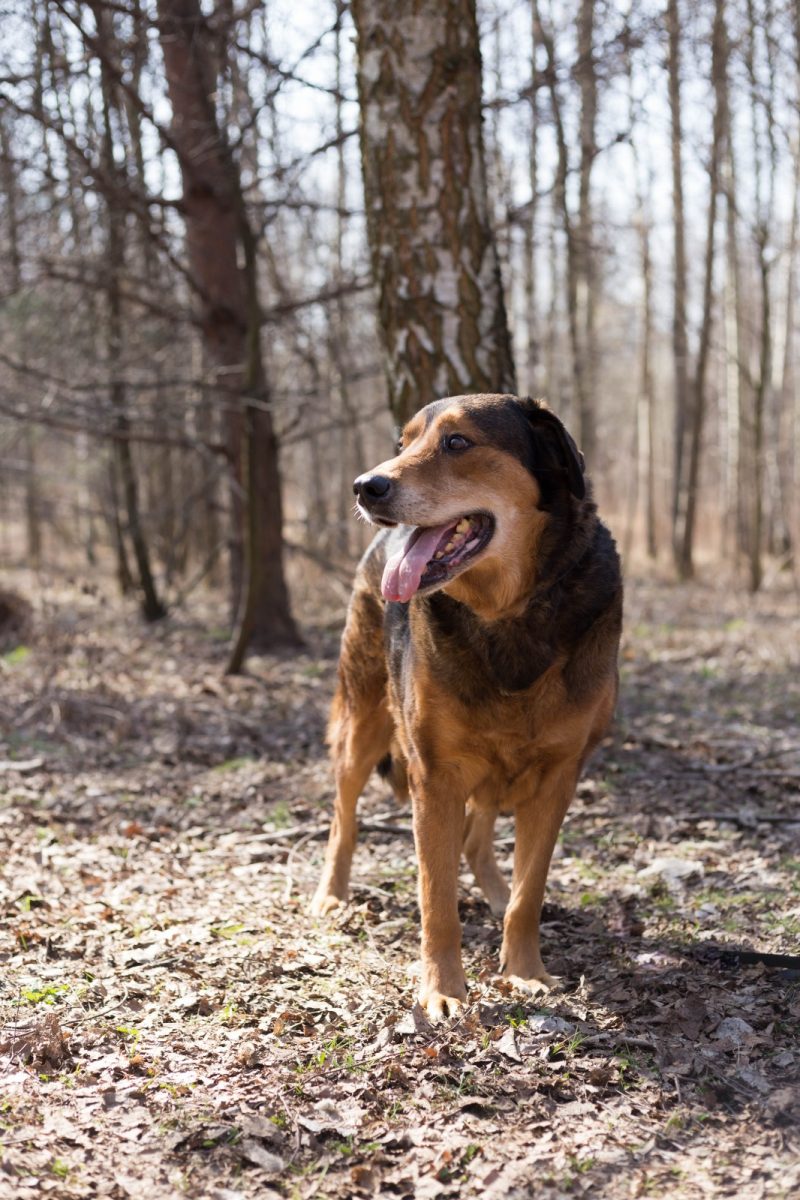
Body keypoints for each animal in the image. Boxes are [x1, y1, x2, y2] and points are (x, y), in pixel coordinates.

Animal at [309, 393, 623, 1022]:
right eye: (403, 443)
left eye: (458, 442)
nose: (365, 486)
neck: (508, 613)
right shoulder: (435, 773)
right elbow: (437, 900)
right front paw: (443, 990)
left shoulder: (558, 775)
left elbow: (530, 893)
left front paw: (523, 972)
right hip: (363, 725)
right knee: (343, 817)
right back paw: (332, 894)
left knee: (480, 841)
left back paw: (495, 890)